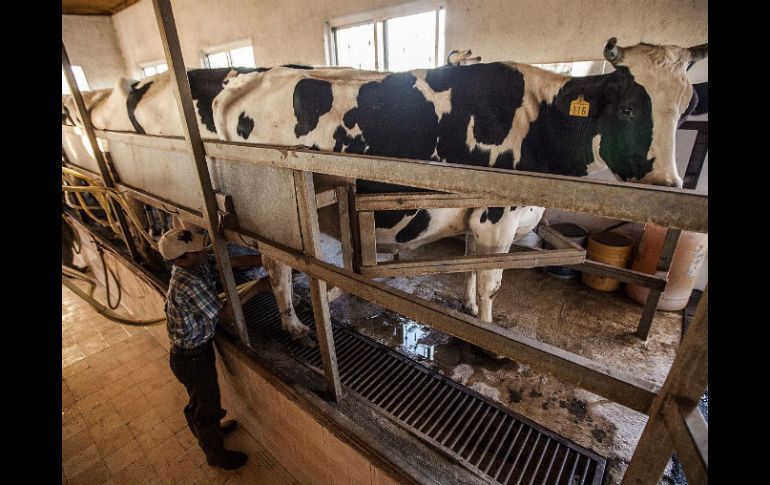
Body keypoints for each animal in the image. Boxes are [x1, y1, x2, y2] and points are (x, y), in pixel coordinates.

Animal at [63, 37, 704, 342]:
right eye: (629, 105)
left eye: (688, 104)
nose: (669, 186)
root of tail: (244, 81)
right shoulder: (495, 216)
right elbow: (492, 283)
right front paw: (487, 331)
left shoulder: (481, 221)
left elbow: (470, 273)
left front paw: (468, 311)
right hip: (272, 207)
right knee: (278, 269)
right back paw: (298, 326)